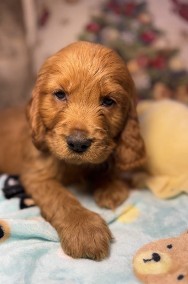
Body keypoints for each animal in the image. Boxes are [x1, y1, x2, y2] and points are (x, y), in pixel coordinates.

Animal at [0, 41, 145, 260]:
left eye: (108, 101)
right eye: (60, 94)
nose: (78, 143)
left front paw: (111, 185)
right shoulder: (37, 176)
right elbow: (60, 198)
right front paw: (84, 228)